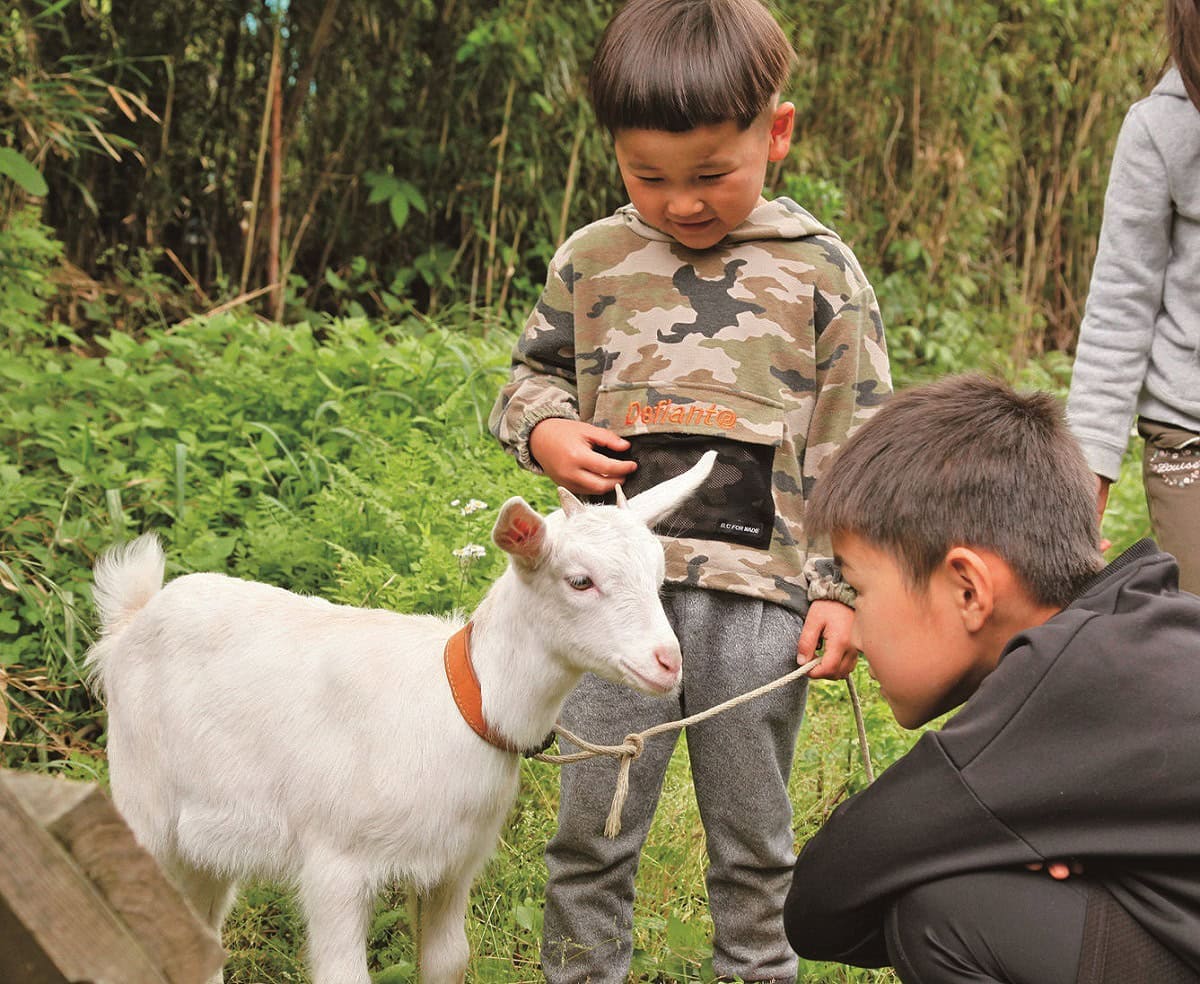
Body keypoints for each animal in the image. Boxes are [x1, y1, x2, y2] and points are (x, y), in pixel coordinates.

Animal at [88, 451, 715, 984]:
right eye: (580, 580)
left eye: (658, 576)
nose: (668, 662)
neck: (462, 701)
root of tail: (133, 617)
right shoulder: (334, 864)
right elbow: (344, 974)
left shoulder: (453, 864)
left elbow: (447, 961)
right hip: (141, 801)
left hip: (207, 840)